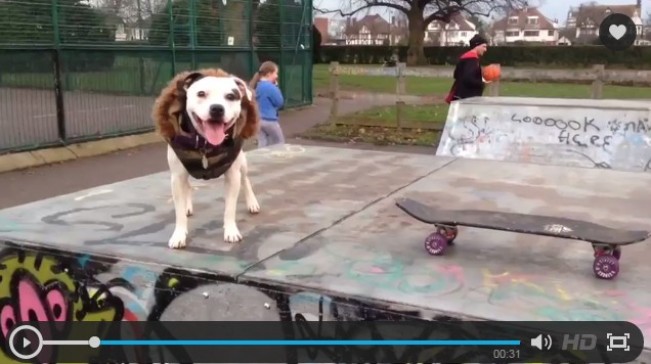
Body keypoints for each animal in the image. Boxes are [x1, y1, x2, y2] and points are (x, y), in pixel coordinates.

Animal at [153, 68, 262, 249]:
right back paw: (187, 206)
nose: (217, 108)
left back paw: (252, 203)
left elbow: (230, 207)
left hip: (241, 163)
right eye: (201, 93)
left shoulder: (232, 176)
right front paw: (179, 235)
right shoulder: (177, 176)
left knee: (245, 179)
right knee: (188, 186)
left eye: (231, 96)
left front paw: (231, 231)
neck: (205, 143)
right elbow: (179, 211)